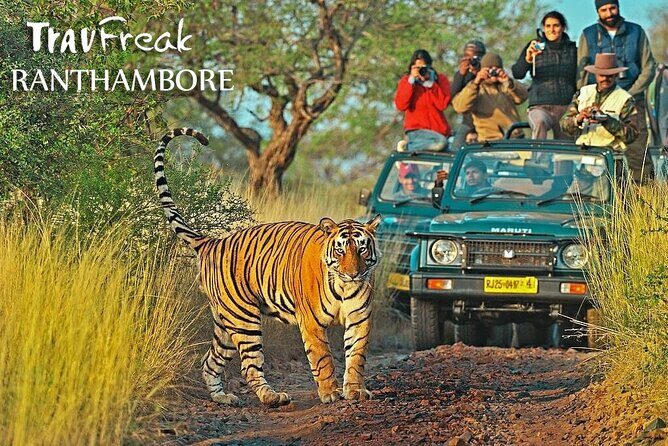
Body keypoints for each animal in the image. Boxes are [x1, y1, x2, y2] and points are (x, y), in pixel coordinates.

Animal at [153, 128, 382, 407]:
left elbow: (356, 357)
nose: (353, 273)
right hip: (243, 318)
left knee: (210, 362)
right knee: (249, 366)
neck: (343, 286)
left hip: (225, 323)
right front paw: (330, 393)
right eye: (340, 250)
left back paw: (223, 398)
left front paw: (356, 390)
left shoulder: (360, 318)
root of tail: (212, 241)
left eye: (362, 249)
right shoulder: (312, 324)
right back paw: (272, 397)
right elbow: (323, 359)